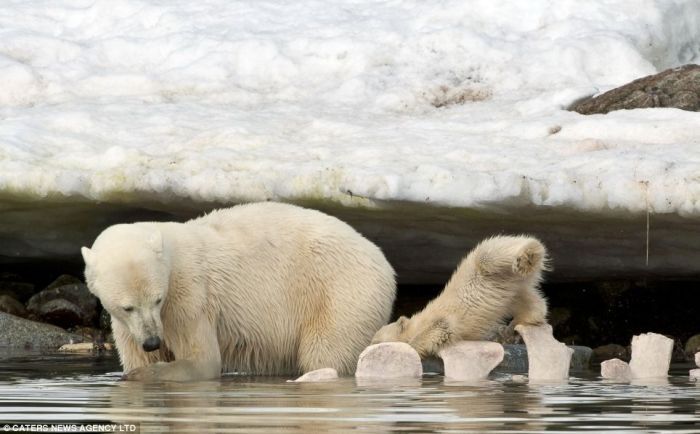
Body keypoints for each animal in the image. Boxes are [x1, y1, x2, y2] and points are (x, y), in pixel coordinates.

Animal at [80, 203, 396, 380]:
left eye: (157, 299)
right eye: (127, 306)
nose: (152, 341)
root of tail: (385, 265)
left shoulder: (189, 295)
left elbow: (203, 359)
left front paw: (146, 373)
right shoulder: (127, 325)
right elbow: (135, 353)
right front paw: (140, 365)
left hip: (340, 292)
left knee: (326, 353)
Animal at [372, 236, 548, 358]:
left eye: (376, 340)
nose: (369, 344)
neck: (416, 323)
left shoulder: (438, 318)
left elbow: (440, 327)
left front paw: (413, 347)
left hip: (488, 264)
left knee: (491, 254)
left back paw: (525, 257)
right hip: (513, 287)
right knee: (525, 300)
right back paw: (515, 325)